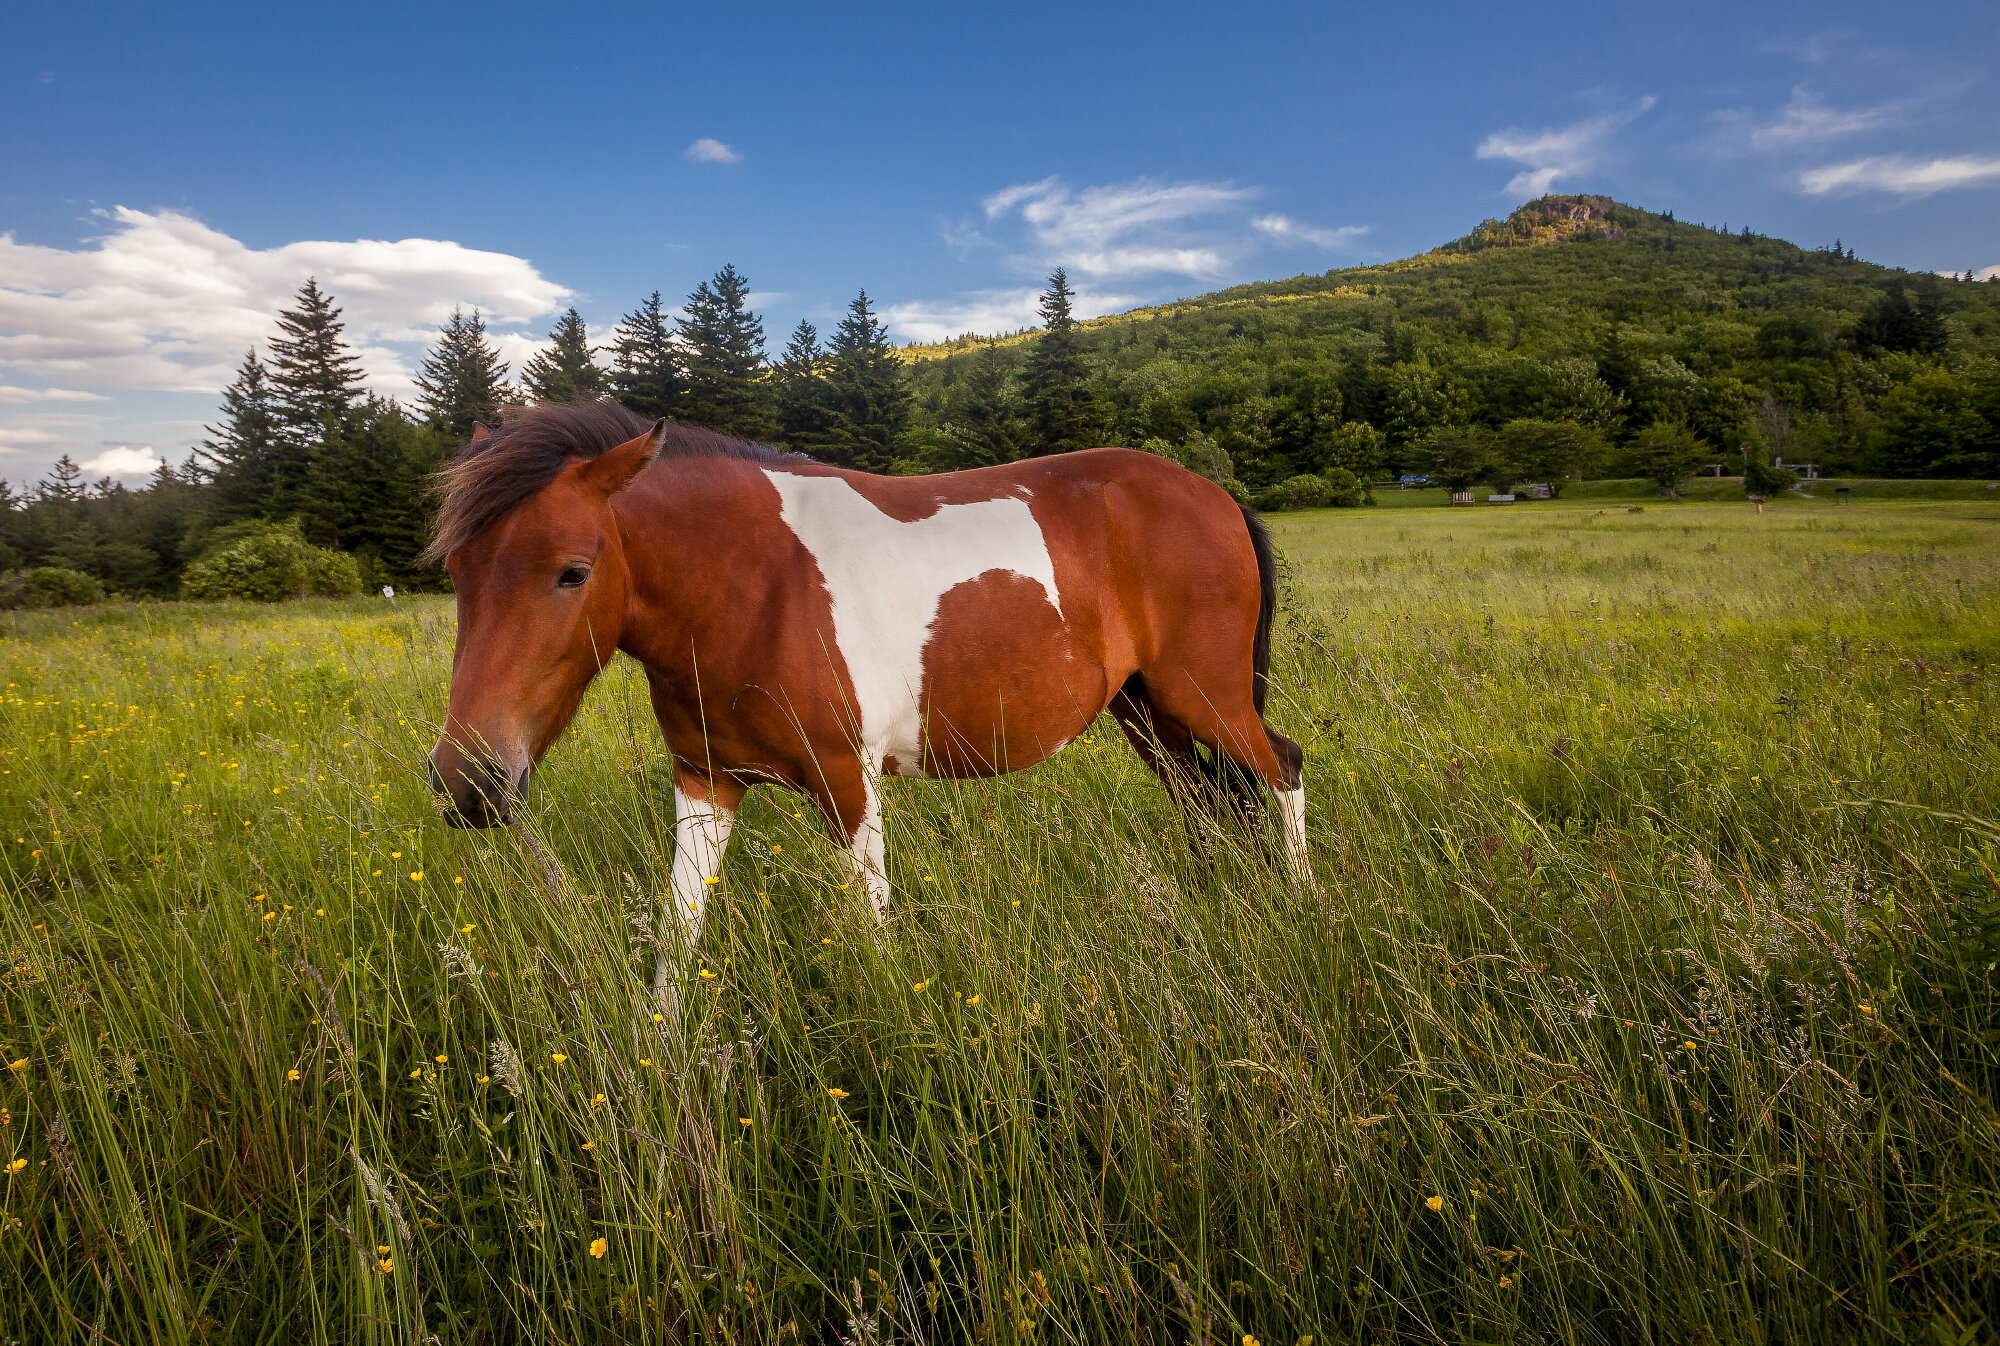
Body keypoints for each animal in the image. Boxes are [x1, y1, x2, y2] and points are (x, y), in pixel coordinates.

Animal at [423, 401, 1306, 995]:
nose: (468, 779)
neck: (755, 582)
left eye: (572, 571)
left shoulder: (848, 781)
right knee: (1204, 803)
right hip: (1147, 712)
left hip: (1206, 699)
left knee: (1281, 771)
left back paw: (1307, 904)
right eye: (457, 571)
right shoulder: (707, 782)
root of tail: (1214, 495)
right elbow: (679, 937)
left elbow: (873, 933)